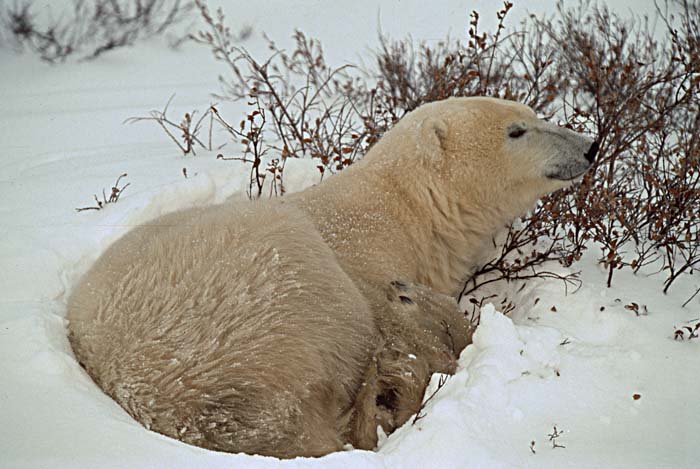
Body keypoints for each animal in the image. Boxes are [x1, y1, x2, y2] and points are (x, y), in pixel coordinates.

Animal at [67, 96, 596, 458]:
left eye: (533, 113)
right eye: (516, 130)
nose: (590, 144)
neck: (408, 212)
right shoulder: (366, 259)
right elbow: (411, 318)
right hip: (265, 296)